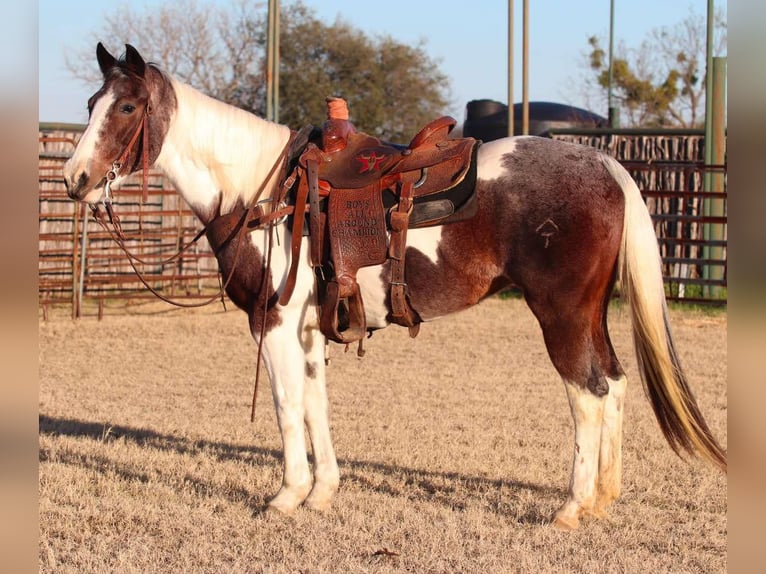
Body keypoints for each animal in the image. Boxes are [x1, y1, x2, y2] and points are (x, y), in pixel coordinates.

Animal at [63, 43, 726, 530]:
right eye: (92, 101)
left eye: (126, 108)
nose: (75, 179)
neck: (263, 193)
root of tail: (605, 164)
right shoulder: (309, 329)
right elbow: (315, 404)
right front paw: (322, 493)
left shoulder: (272, 323)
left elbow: (285, 406)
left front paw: (286, 496)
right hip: (591, 313)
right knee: (614, 384)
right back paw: (605, 497)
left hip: (560, 314)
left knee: (587, 393)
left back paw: (570, 507)